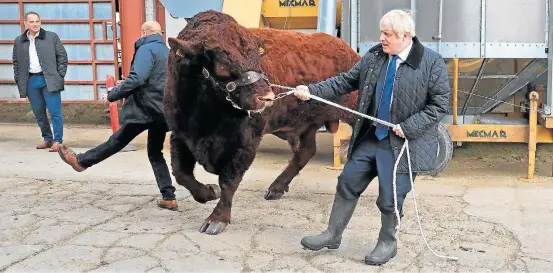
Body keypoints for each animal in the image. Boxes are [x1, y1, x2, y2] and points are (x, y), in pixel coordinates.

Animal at [166, 10, 360, 234]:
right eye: (221, 65)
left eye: (257, 59)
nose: (267, 97)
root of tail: (349, 51)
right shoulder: (180, 134)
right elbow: (181, 173)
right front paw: (208, 192)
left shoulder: (246, 141)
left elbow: (229, 179)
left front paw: (217, 219)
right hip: (306, 125)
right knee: (305, 151)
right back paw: (276, 188)